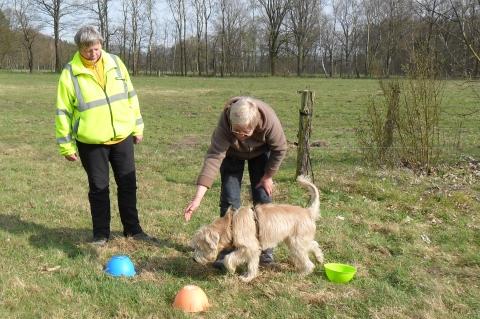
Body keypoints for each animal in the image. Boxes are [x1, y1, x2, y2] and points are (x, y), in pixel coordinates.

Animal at [190, 176, 322, 284]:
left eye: (200, 246)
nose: (194, 259)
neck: (231, 225)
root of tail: (308, 212)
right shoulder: (252, 250)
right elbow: (252, 265)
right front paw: (248, 277)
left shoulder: (249, 247)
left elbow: (229, 258)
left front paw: (232, 269)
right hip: (295, 241)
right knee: (314, 244)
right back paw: (319, 258)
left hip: (296, 244)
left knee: (309, 262)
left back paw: (303, 273)